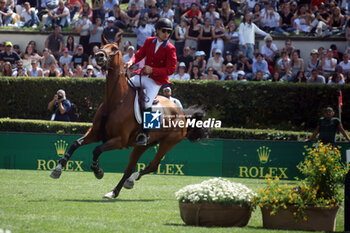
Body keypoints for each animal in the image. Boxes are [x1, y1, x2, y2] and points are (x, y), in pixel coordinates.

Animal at [50, 36, 206, 198]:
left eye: (114, 49)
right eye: (102, 47)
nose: (99, 56)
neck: (115, 101)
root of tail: (181, 113)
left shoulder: (119, 141)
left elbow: (97, 150)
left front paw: (98, 171)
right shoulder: (95, 133)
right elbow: (75, 143)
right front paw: (57, 169)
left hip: (168, 143)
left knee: (152, 165)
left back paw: (129, 181)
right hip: (142, 145)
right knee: (130, 167)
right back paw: (115, 191)